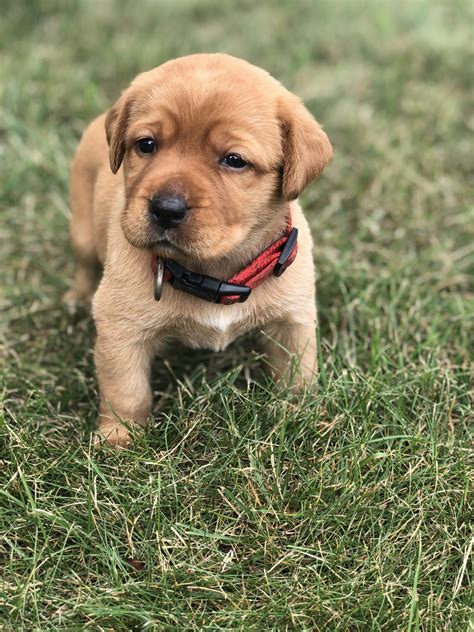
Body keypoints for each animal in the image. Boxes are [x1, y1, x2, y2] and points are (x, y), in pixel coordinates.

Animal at [67, 55, 334, 450]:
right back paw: (77, 298)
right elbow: (126, 390)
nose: (166, 209)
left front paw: (304, 419)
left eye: (234, 160)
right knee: (85, 266)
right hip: (82, 232)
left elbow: (297, 373)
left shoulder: (293, 320)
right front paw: (120, 438)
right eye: (146, 144)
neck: (212, 271)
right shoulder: (120, 327)